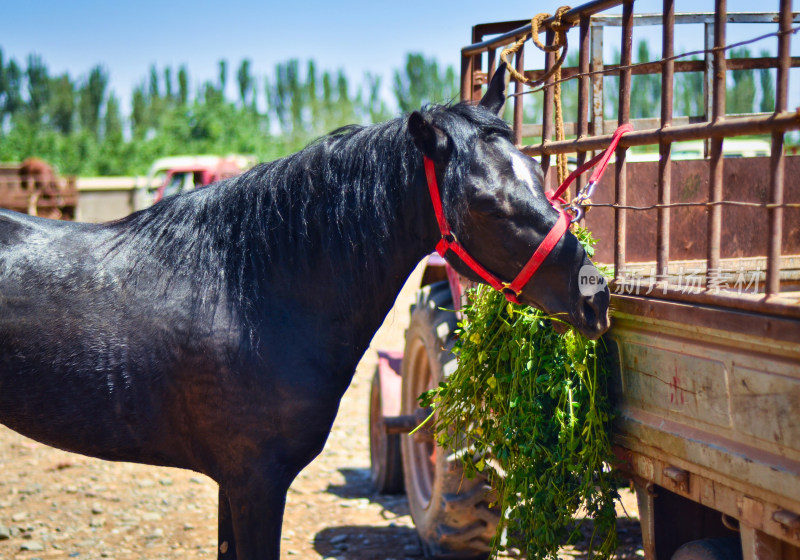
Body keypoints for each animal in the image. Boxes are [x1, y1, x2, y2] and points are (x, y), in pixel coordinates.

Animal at [0, 66, 608, 560]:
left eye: (538, 174)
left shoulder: (235, 485)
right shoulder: (256, 482)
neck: (249, 294)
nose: (595, 297)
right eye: (485, 204)